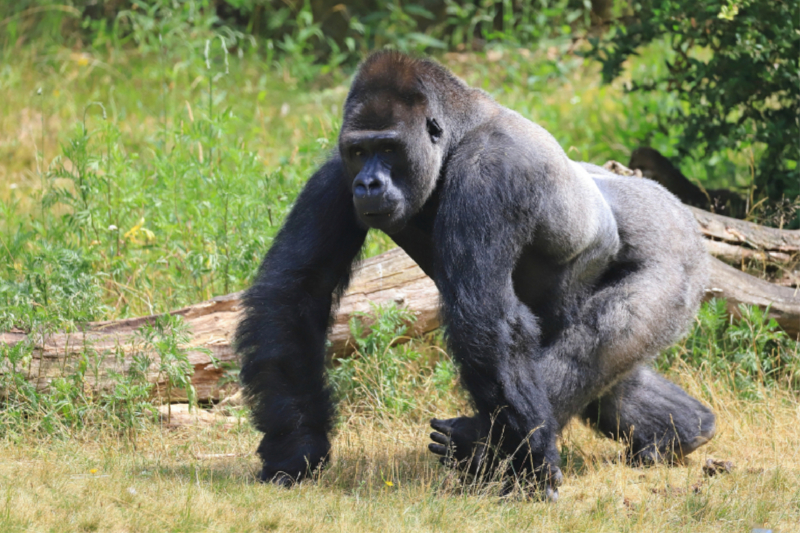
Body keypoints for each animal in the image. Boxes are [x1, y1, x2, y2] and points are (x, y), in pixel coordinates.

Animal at [234, 52, 716, 496]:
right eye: (359, 151)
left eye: (388, 148)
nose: (369, 184)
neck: (458, 133)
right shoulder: (337, 174)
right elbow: (296, 294)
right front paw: (295, 446)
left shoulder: (491, 172)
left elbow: (485, 316)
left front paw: (530, 466)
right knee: (605, 373)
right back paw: (683, 430)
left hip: (675, 251)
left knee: (596, 343)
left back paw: (478, 445)